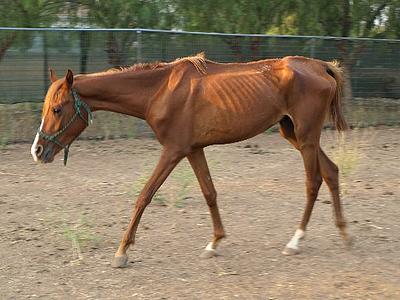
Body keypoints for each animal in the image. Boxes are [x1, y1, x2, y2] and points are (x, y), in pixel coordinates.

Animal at [31, 52, 350, 268]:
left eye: (57, 109)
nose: (37, 150)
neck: (160, 90)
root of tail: (320, 66)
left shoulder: (173, 150)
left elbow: (145, 195)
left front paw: (122, 251)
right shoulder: (194, 149)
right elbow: (209, 193)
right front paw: (214, 243)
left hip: (306, 137)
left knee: (314, 182)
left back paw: (295, 241)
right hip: (294, 134)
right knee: (332, 172)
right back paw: (344, 233)